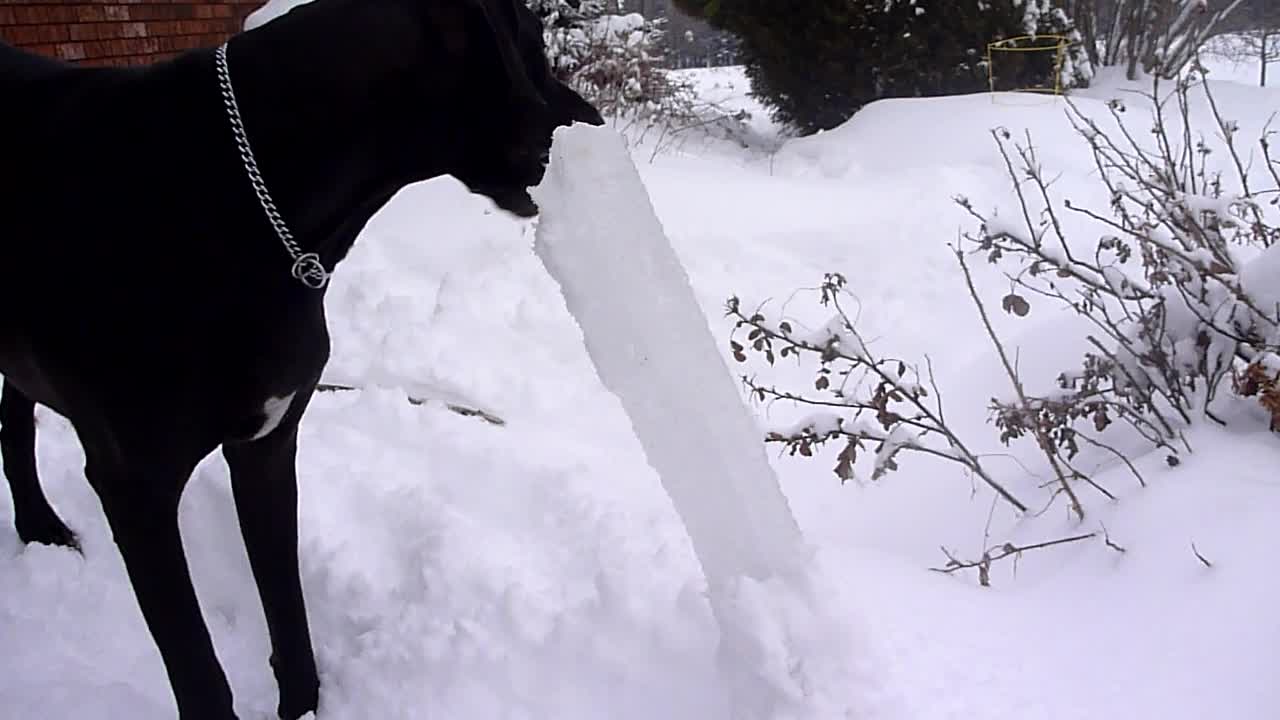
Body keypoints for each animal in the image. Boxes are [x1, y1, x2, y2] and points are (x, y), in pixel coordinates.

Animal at [0, 1, 604, 712]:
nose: (597, 124)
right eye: (534, 48)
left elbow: (286, 603)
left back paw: (38, 525)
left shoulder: (267, 443)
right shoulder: (135, 487)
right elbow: (197, 668)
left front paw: (305, 704)